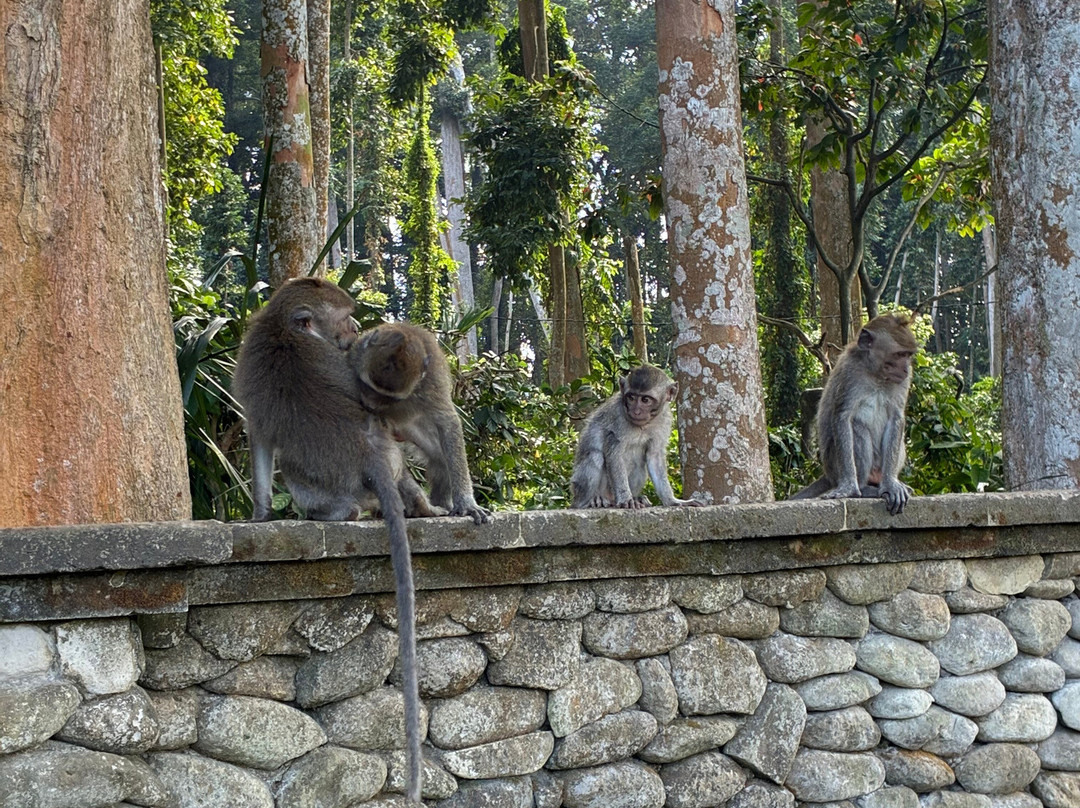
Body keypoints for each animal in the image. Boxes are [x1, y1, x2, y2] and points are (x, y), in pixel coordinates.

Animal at [231, 278, 426, 803]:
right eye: (345, 317)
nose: (357, 328)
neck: (282, 327)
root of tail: (367, 454)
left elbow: (260, 437)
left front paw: (259, 514)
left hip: (316, 481)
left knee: (295, 467)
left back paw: (336, 513)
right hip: (382, 456)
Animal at [347, 322, 492, 525]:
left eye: (389, 398)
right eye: (368, 387)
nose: (370, 405)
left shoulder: (432, 383)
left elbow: (447, 422)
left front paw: (466, 503)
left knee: (441, 457)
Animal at [570, 365, 703, 510]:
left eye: (645, 399)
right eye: (631, 397)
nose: (636, 411)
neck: (644, 425)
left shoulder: (665, 420)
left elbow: (654, 457)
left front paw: (673, 501)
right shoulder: (617, 419)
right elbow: (614, 456)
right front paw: (626, 499)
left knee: (639, 464)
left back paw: (636, 498)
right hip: (579, 487)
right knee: (595, 456)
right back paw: (590, 501)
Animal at [790, 312, 919, 515]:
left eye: (908, 355)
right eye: (899, 354)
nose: (906, 369)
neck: (875, 374)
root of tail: (829, 475)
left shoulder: (902, 382)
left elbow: (896, 418)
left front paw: (891, 484)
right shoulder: (850, 372)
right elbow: (843, 417)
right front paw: (849, 487)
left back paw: (884, 484)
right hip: (834, 464)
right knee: (857, 429)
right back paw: (863, 488)